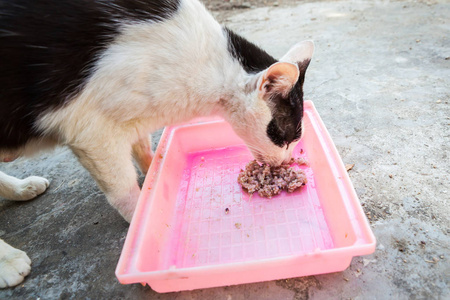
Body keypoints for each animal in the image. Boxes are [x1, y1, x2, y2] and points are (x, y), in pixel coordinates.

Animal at [0, 0, 312, 288]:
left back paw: (22, 188)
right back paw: (9, 261)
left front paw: (155, 172)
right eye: (285, 135)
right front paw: (140, 228)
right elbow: (124, 191)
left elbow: (142, 148)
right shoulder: (90, 129)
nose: (285, 162)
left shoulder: (130, 119)